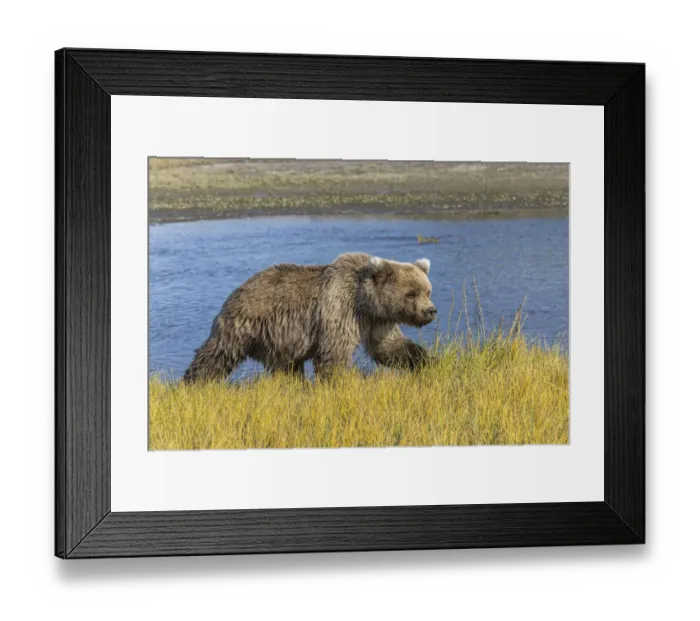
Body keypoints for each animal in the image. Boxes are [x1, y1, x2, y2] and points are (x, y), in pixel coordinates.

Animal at [182, 252, 437, 383]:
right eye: (411, 293)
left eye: (427, 291)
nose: (431, 310)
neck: (366, 303)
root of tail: (237, 289)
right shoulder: (340, 310)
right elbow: (334, 355)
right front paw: (343, 383)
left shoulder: (378, 322)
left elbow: (389, 347)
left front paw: (426, 361)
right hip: (245, 322)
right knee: (218, 354)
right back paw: (193, 382)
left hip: (280, 340)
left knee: (287, 367)